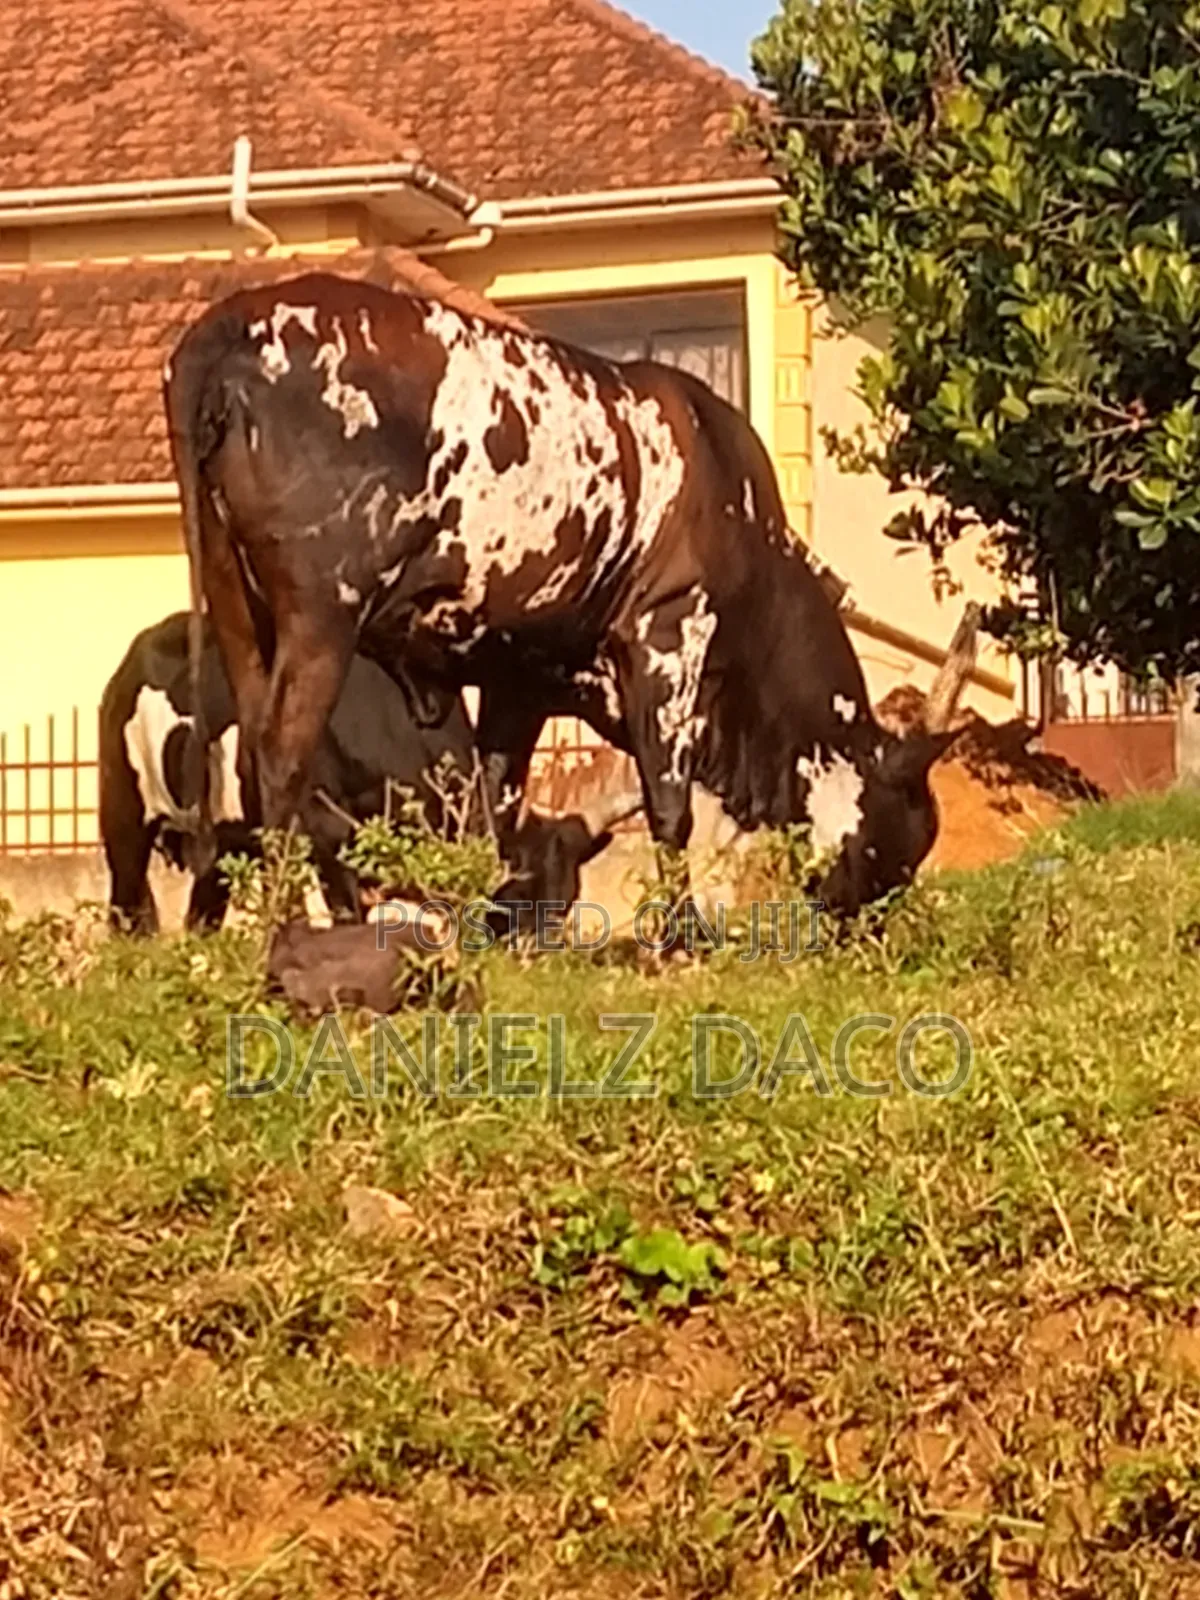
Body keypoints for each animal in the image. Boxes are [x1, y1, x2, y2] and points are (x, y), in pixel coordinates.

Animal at [164, 274, 964, 920]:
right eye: (900, 839)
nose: (867, 926)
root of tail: (229, 323)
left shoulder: (519, 680)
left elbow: (494, 814)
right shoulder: (669, 633)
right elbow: (668, 806)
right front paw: (681, 937)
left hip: (237, 605)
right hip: (323, 616)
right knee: (281, 757)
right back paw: (286, 924)